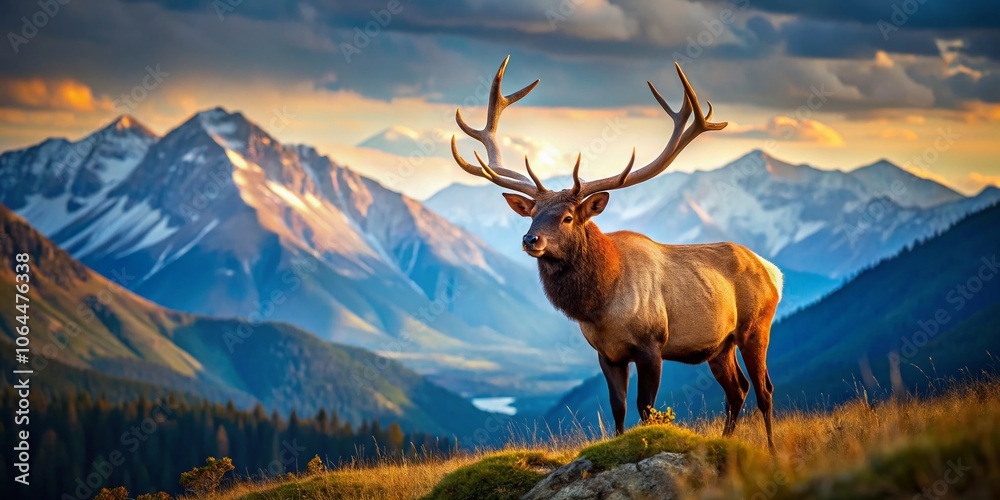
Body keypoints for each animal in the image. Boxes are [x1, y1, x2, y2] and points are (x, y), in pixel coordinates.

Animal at [449, 57, 783, 451]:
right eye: (532, 213)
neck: (601, 306)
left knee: (764, 389)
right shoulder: (605, 352)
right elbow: (618, 409)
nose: (530, 239)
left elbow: (646, 408)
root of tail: (773, 272)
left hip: (755, 326)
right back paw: (726, 441)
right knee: (737, 390)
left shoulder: (652, 344)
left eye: (567, 217)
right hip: (719, 345)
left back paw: (772, 450)